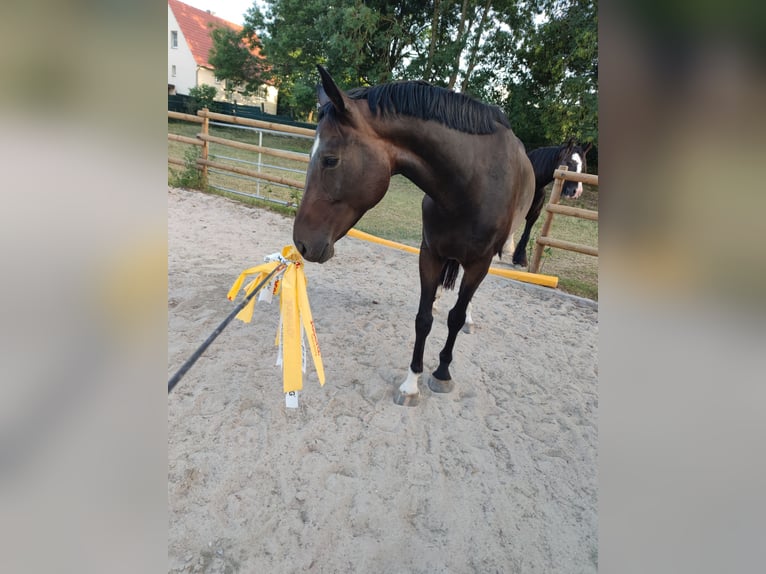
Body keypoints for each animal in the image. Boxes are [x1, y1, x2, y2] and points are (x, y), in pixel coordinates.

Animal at [293, 65, 534, 406]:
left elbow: (455, 318)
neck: (471, 183)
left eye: (330, 159)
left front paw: (442, 373)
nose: (300, 242)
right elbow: (423, 319)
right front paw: (411, 383)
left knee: (465, 303)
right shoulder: (430, 253)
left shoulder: (479, 263)